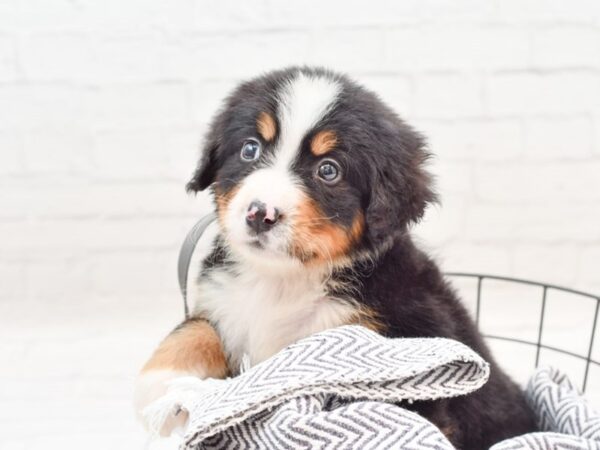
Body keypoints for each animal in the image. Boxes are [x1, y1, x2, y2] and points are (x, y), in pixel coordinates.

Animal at [135, 65, 536, 448]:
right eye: (250, 149)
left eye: (328, 170)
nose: (260, 213)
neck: (284, 281)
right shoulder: (222, 299)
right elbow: (195, 328)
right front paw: (161, 384)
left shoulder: (417, 341)